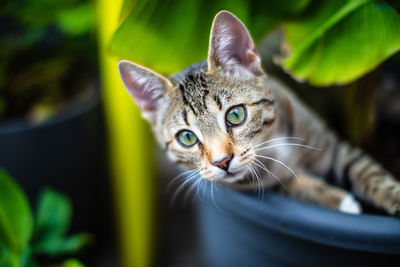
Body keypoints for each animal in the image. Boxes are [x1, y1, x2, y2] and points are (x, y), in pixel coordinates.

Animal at [118, 10, 400, 217]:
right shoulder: (260, 185)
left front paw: (393, 195)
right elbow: (292, 184)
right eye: (187, 138)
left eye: (235, 115)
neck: (273, 144)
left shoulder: (332, 147)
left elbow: (367, 171)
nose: (221, 162)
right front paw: (340, 200)